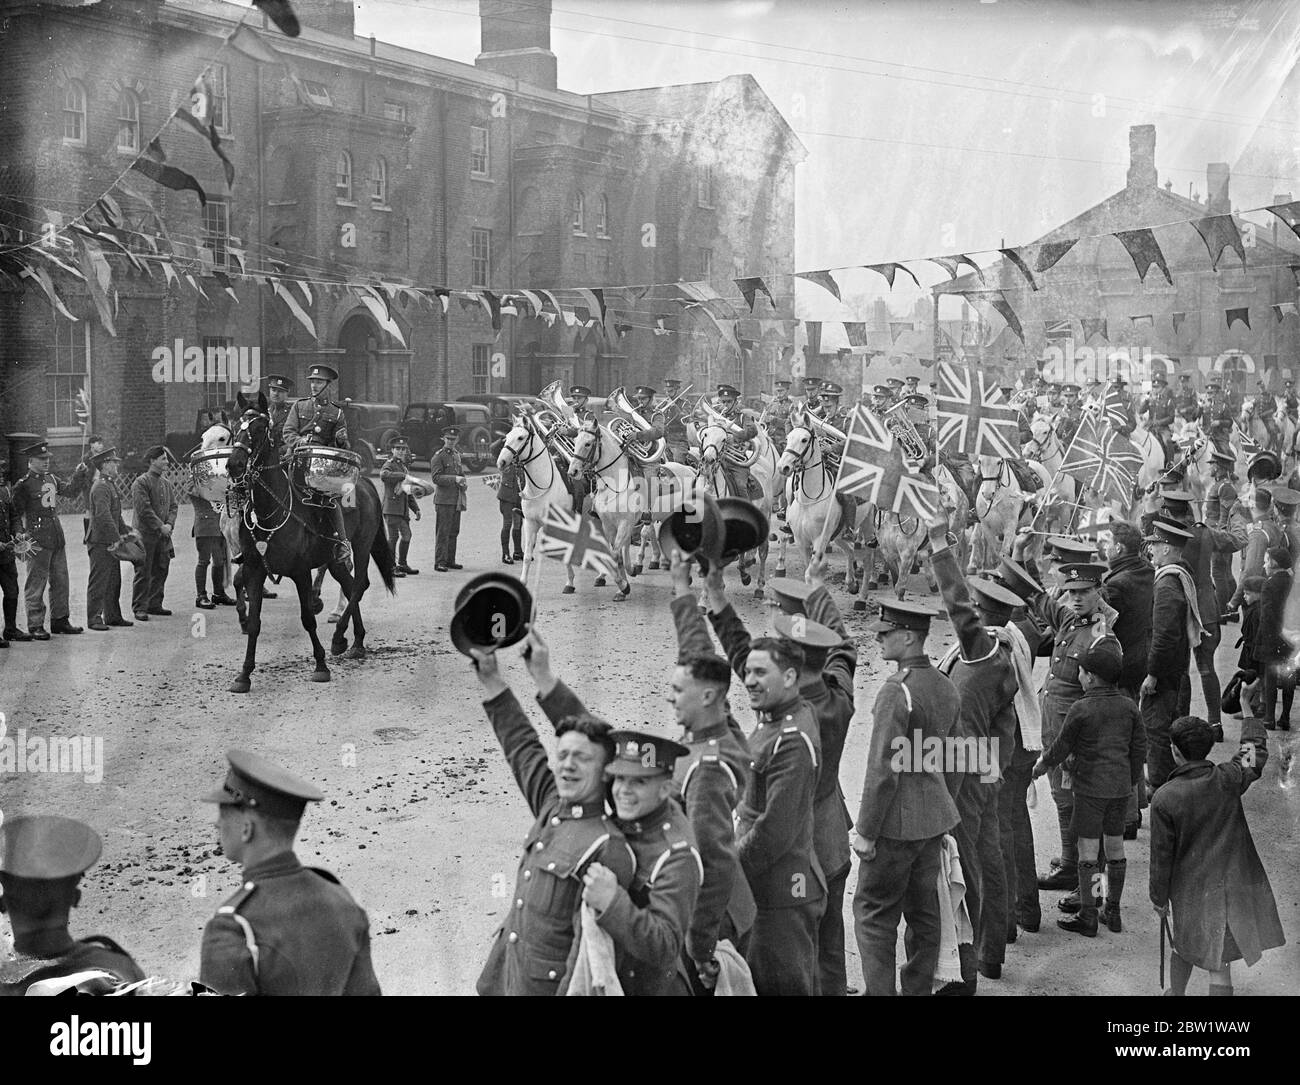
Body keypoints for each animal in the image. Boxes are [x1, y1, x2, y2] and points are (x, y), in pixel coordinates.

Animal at [496, 415, 579, 597]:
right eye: (507, 436)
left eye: (521, 437)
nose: (501, 462)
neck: (543, 486)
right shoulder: (530, 524)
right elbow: (527, 556)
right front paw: (523, 583)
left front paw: (570, 583)